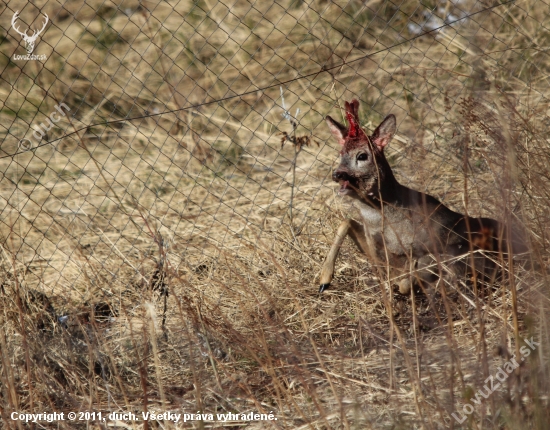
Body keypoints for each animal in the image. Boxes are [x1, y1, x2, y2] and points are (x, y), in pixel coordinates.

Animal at [322, 98, 528, 292]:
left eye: (362, 156)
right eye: (341, 154)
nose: (337, 174)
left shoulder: (442, 247)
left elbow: (410, 277)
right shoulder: (378, 252)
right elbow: (346, 222)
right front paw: (324, 279)